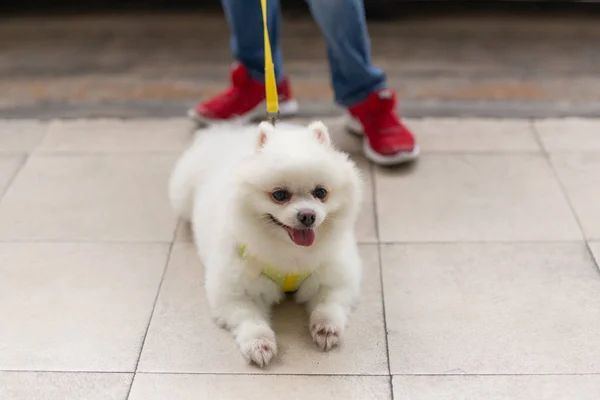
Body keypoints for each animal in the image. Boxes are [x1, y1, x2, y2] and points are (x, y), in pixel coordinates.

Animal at [168, 120, 360, 368]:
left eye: (321, 192)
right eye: (279, 195)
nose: (308, 215)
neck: (290, 254)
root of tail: (226, 131)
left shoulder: (336, 277)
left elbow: (329, 303)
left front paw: (326, 328)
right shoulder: (234, 292)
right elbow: (249, 318)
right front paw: (259, 344)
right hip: (181, 196)